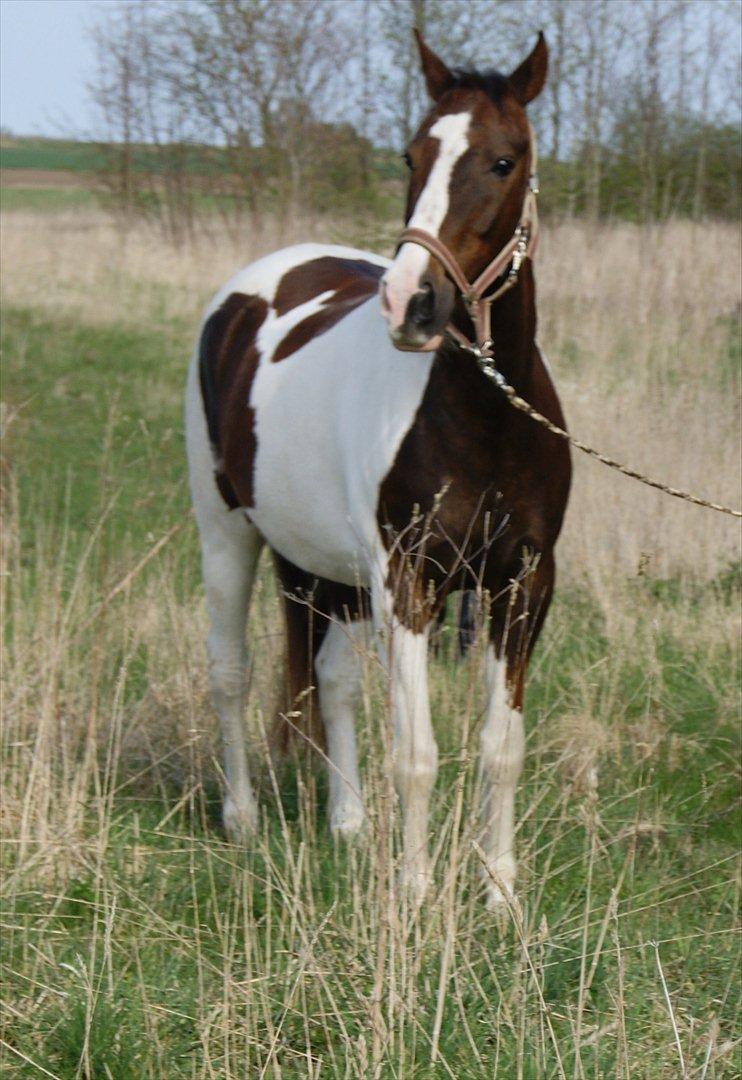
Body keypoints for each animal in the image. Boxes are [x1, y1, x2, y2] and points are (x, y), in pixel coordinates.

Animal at [186, 31, 574, 902]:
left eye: (505, 160)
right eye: (410, 154)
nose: (411, 304)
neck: (487, 419)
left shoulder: (524, 583)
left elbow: (502, 747)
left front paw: (500, 891)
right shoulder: (410, 584)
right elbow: (417, 754)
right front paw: (416, 893)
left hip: (330, 567)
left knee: (333, 680)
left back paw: (348, 823)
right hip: (229, 534)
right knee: (229, 674)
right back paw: (242, 818)